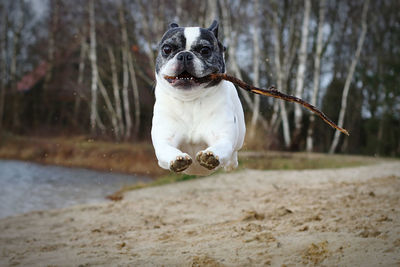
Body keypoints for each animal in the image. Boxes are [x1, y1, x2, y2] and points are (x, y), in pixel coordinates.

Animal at [152, 21, 245, 176]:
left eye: (205, 50)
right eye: (167, 49)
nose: (184, 55)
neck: (190, 99)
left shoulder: (222, 136)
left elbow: (222, 146)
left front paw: (211, 155)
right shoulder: (164, 140)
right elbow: (166, 149)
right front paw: (178, 159)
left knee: (234, 151)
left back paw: (231, 164)